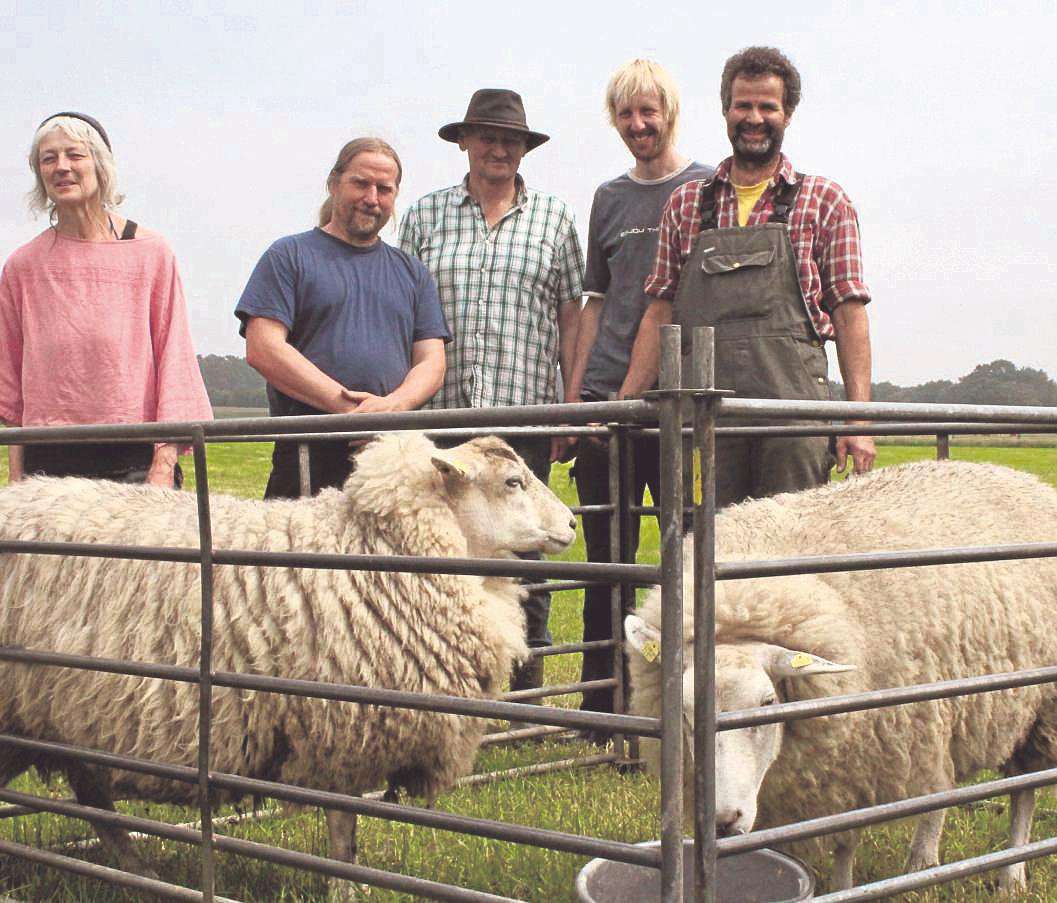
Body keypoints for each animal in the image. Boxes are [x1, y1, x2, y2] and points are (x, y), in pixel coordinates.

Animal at [0, 433, 579, 896]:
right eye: (512, 482)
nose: (574, 523)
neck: (377, 548)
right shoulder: (343, 730)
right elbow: (344, 830)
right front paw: (346, 889)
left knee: (94, 801)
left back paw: (139, 875)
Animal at [625, 463, 1057, 892]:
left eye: (768, 703)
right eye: (683, 711)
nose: (724, 821)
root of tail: (1023, 478)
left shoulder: (856, 761)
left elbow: (846, 841)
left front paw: (847, 886)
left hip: (1038, 714)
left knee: (1021, 792)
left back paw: (1006, 873)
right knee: (945, 788)